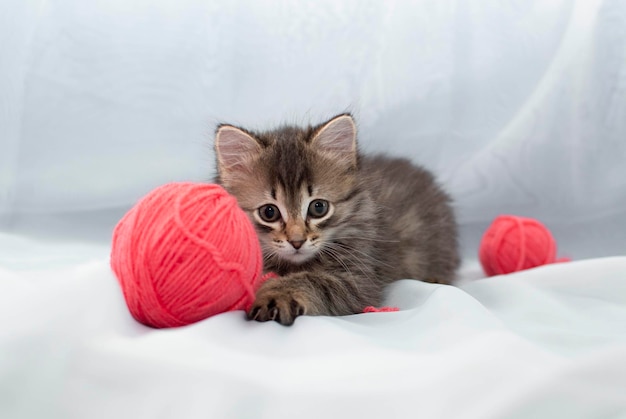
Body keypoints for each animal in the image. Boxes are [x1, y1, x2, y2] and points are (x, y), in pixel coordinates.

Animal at [214, 113, 458, 326]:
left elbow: (314, 280)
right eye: (269, 212)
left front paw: (276, 294)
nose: (296, 241)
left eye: (318, 207)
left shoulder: (360, 278)